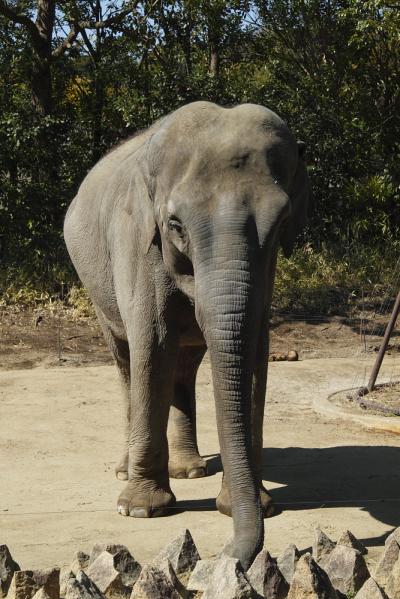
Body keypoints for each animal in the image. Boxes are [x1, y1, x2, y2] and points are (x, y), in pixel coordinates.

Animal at [63, 101, 312, 568]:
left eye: (281, 223)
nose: (227, 555)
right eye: (176, 225)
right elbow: (152, 343)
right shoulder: (136, 241)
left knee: (183, 366)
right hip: (95, 285)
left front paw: (256, 505)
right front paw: (141, 510)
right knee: (128, 361)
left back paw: (190, 470)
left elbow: (254, 348)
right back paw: (126, 470)